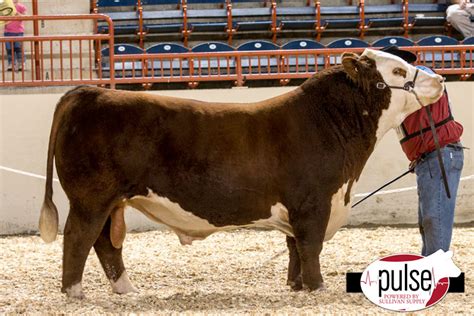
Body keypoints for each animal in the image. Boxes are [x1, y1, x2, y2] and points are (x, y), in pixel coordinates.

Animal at [39, 49, 444, 298]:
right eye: (396, 71)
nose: (439, 78)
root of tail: (88, 91)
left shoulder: (299, 207)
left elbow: (294, 247)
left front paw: (296, 287)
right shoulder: (313, 203)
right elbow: (310, 245)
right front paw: (317, 288)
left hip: (112, 201)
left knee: (106, 243)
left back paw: (127, 290)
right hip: (91, 198)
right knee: (79, 237)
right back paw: (74, 292)